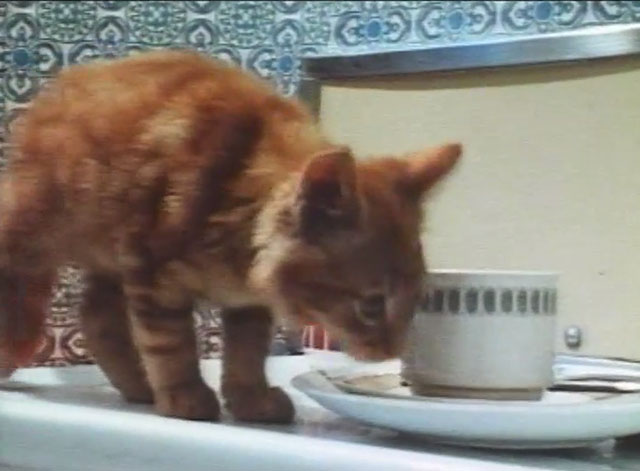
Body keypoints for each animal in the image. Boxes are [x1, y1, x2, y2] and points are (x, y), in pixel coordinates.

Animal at [0, 50, 462, 424]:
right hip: (43, 224)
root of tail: (65, 81)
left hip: (111, 252)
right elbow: (171, 344)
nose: (391, 351)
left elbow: (246, 354)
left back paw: (138, 385)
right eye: (371, 305)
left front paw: (250, 399)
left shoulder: (247, 302)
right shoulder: (154, 277)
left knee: (96, 317)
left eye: (416, 300)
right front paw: (185, 394)